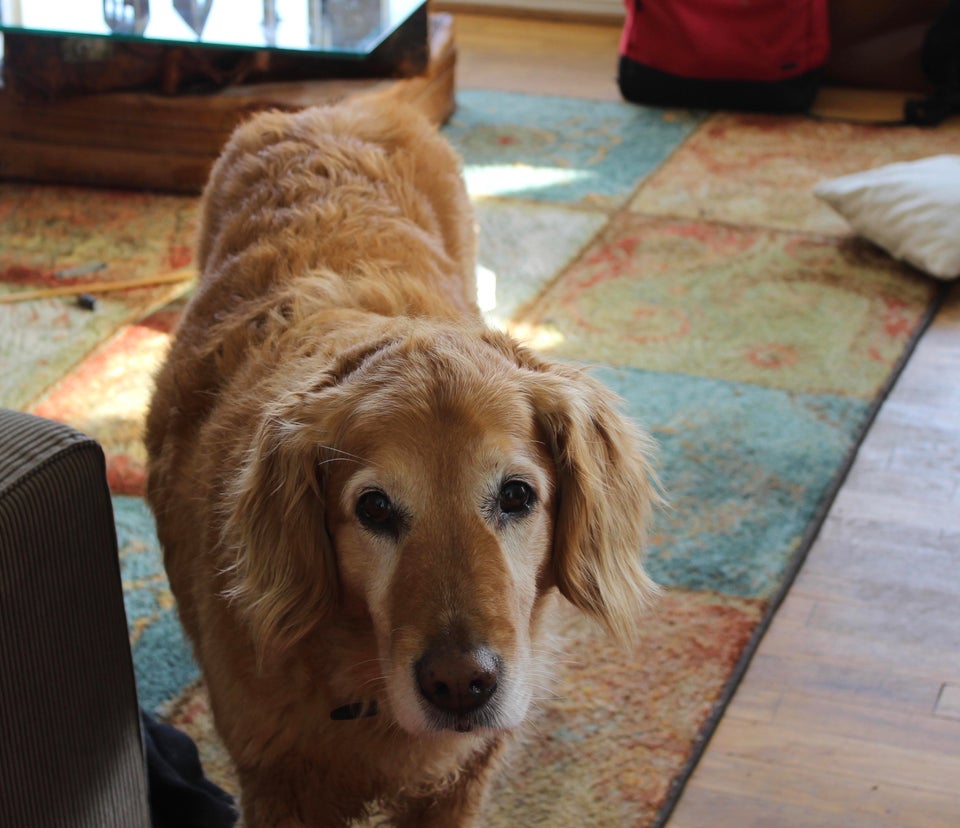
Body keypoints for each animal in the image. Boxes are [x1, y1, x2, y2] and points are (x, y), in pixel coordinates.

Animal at [146, 98, 660, 828]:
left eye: (517, 496)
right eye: (374, 508)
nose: (461, 685)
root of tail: (330, 107)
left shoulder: (461, 781)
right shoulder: (276, 785)